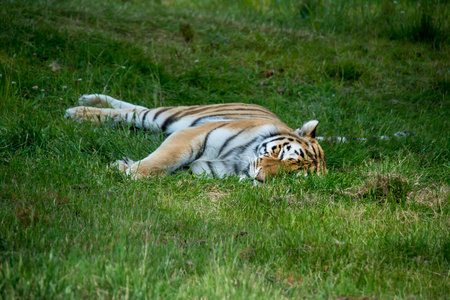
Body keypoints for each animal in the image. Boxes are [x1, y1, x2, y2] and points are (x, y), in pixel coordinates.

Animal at [65, 95, 326, 182]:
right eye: (280, 154)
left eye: (289, 176)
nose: (261, 178)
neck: (238, 162)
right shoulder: (190, 135)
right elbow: (163, 159)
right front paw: (131, 173)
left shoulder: (200, 170)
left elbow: (166, 170)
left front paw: (121, 166)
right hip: (170, 118)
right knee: (136, 112)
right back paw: (81, 111)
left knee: (136, 109)